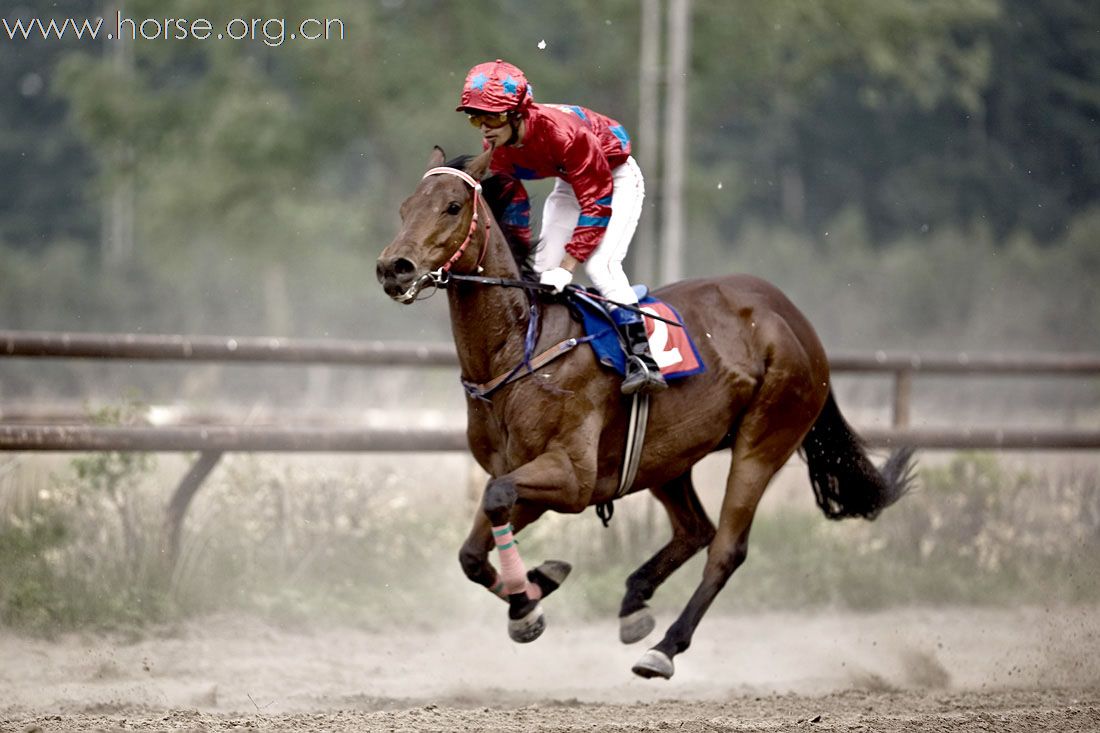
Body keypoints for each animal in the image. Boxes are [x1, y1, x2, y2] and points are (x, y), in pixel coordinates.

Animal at [374, 145, 915, 677]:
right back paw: (635, 601)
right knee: (696, 530)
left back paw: (665, 648)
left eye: (452, 207)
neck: (521, 349)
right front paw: (532, 594)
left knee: (726, 548)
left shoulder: (571, 477)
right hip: (667, 456)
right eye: (403, 207)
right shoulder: (523, 473)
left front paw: (528, 597)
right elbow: (473, 548)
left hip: (765, 439)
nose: (393, 267)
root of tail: (794, 318)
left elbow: (496, 499)